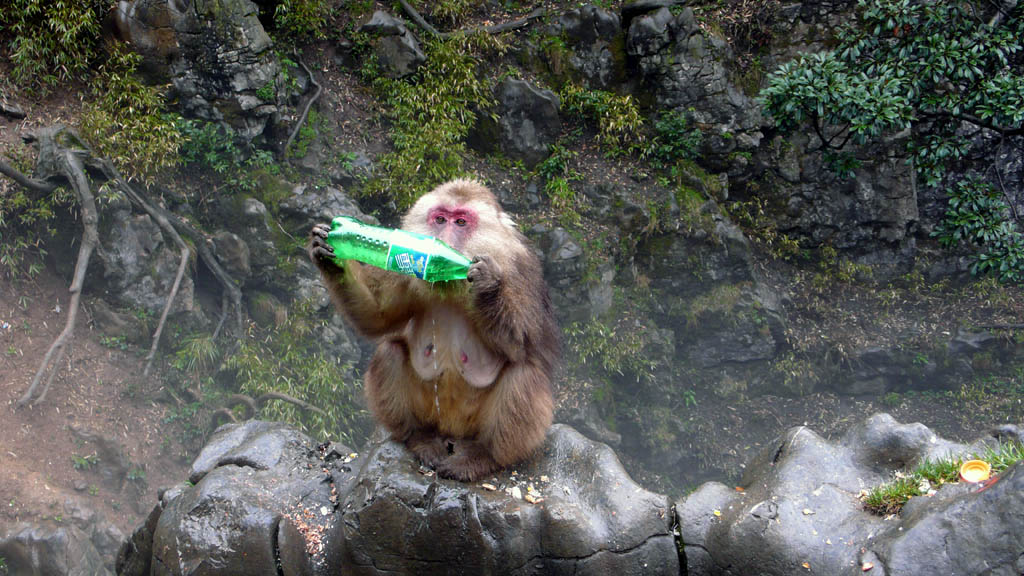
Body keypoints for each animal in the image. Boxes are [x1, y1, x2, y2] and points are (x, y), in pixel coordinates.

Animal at [307, 179, 557, 479]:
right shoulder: (403, 274)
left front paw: (487, 286)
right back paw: (419, 437)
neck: (451, 284)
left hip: (474, 424)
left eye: (460, 221)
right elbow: (378, 316)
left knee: (523, 373)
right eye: (440, 219)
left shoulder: (522, 273)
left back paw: (484, 456)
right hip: (432, 413)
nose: (444, 240)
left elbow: (524, 344)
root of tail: (451, 429)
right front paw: (330, 254)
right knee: (390, 352)